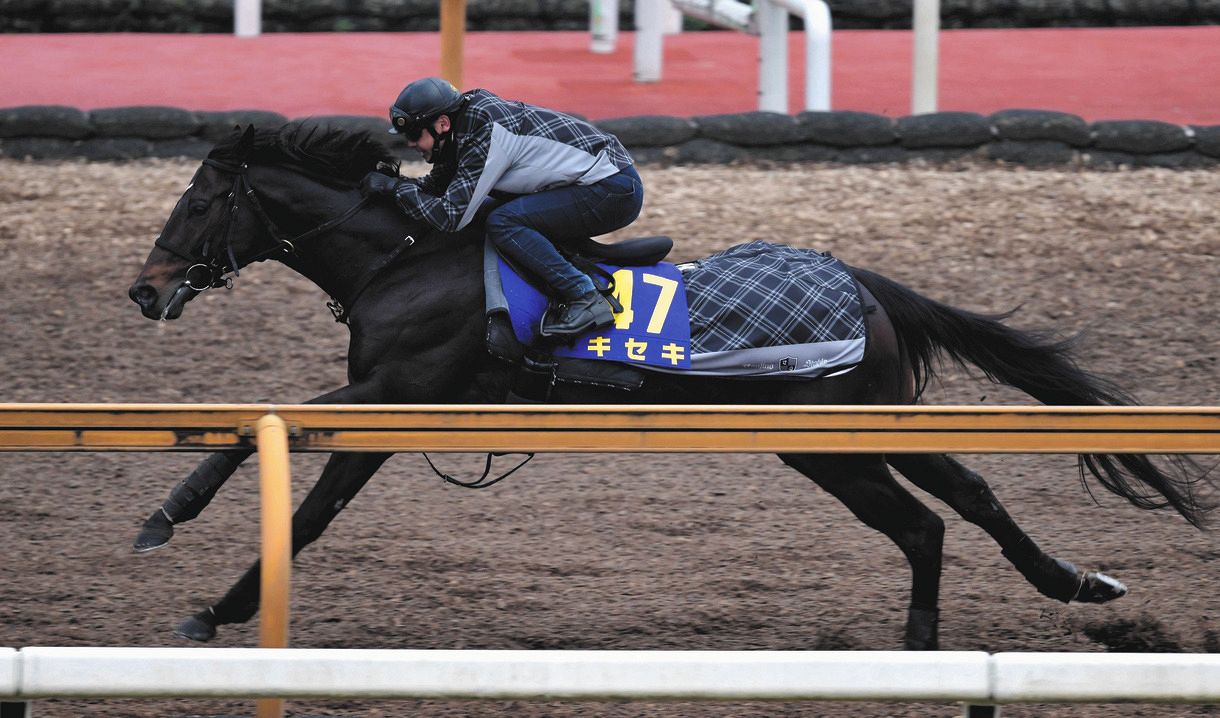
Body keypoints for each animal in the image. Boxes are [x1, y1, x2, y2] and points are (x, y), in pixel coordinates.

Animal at [127, 122, 1213, 651]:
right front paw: (216, 603)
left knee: (950, 506)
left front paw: (167, 521)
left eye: (198, 201)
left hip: (843, 429)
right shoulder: (395, 414)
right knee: (943, 512)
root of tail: (864, 281)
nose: (144, 288)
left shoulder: (395, 393)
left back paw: (1023, 602)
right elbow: (306, 513)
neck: (407, 254)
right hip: (841, 437)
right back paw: (1013, 606)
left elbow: (260, 443)